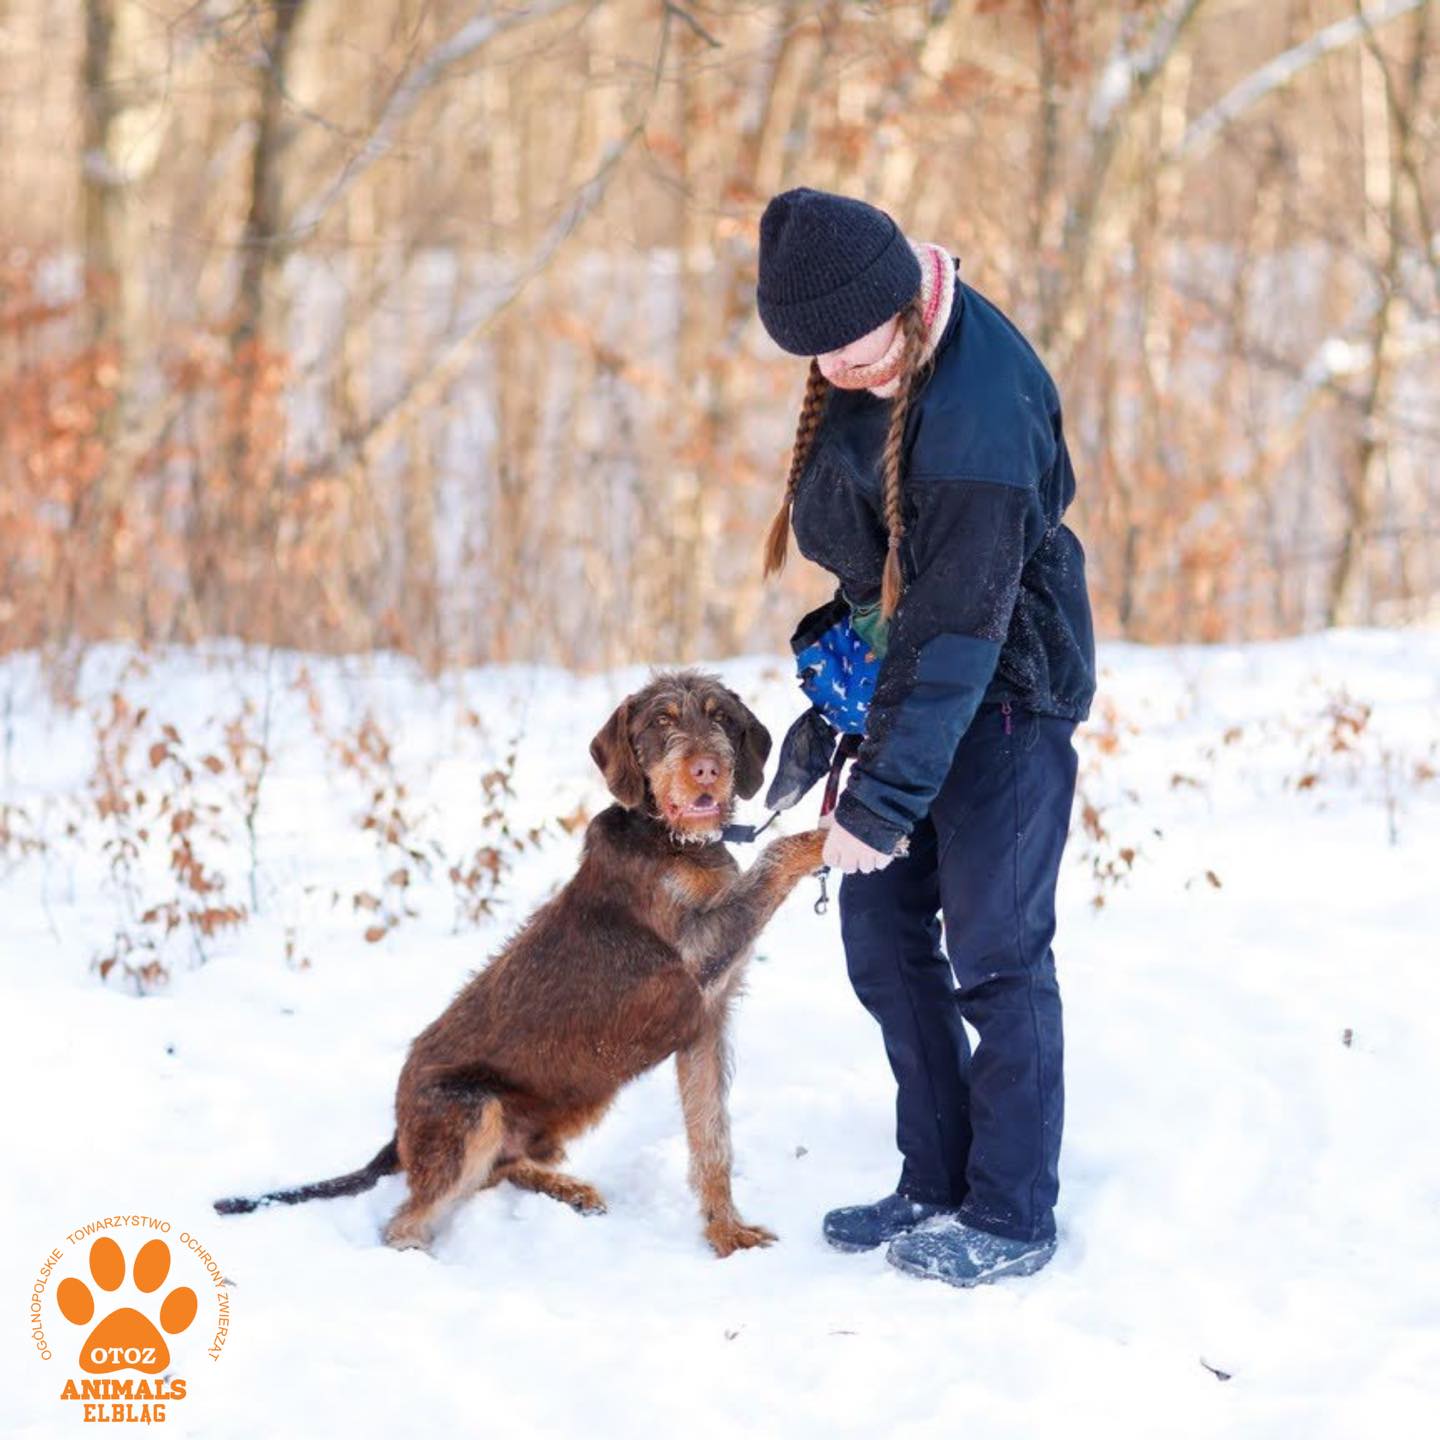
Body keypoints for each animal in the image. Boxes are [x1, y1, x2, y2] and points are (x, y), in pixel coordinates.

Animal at [215, 669, 827, 1257]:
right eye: (661, 720)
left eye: (721, 718)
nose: (706, 770)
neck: (674, 840)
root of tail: (397, 1130)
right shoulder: (698, 954)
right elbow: (776, 852)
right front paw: (830, 830)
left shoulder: (705, 1024)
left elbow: (711, 1138)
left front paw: (725, 1234)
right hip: (474, 1112)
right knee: (409, 1216)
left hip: (581, 1098)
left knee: (502, 1169)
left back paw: (567, 1188)